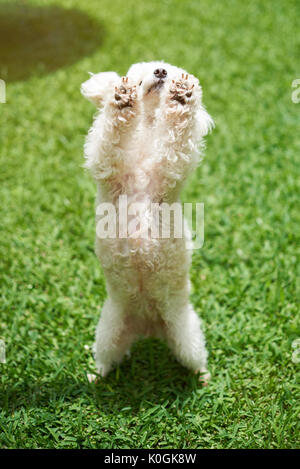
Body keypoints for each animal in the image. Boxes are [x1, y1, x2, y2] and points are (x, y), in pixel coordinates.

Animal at [81, 61, 214, 384]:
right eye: (140, 73)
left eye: (171, 70)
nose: (161, 71)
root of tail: (148, 325)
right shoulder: (107, 165)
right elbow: (109, 139)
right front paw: (121, 99)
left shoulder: (170, 167)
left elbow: (175, 140)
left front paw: (182, 97)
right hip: (109, 332)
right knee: (107, 359)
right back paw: (96, 376)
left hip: (186, 333)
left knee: (195, 358)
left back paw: (203, 377)